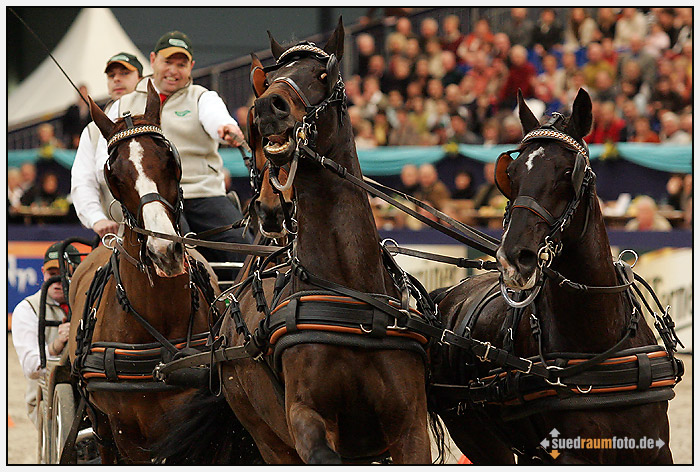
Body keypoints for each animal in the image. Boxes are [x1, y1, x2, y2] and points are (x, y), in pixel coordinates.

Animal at [216, 20, 434, 462]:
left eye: (323, 75)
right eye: (272, 80)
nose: (268, 107)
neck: (349, 290)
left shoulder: (410, 426)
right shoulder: (305, 417)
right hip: (265, 434)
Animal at [430, 89, 680, 464]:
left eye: (567, 172)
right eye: (511, 173)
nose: (513, 258)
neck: (597, 343)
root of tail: (447, 295)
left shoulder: (655, 449)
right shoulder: (569, 453)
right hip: (479, 437)